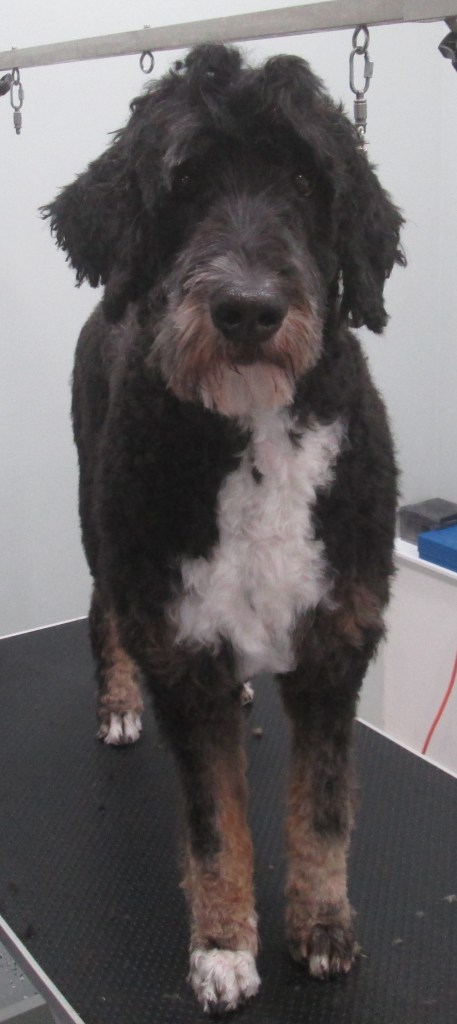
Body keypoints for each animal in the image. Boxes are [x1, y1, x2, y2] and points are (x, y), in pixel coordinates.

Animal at [44, 43, 404, 1013]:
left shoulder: (335, 641)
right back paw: (118, 704)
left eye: (306, 180)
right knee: (103, 616)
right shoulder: (181, 640)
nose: (247, 309)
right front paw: (220, 945)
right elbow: (214, 824)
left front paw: (321, 926)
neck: (250, 432)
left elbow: (323, 809)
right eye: (184, 184)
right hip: (102, 525)